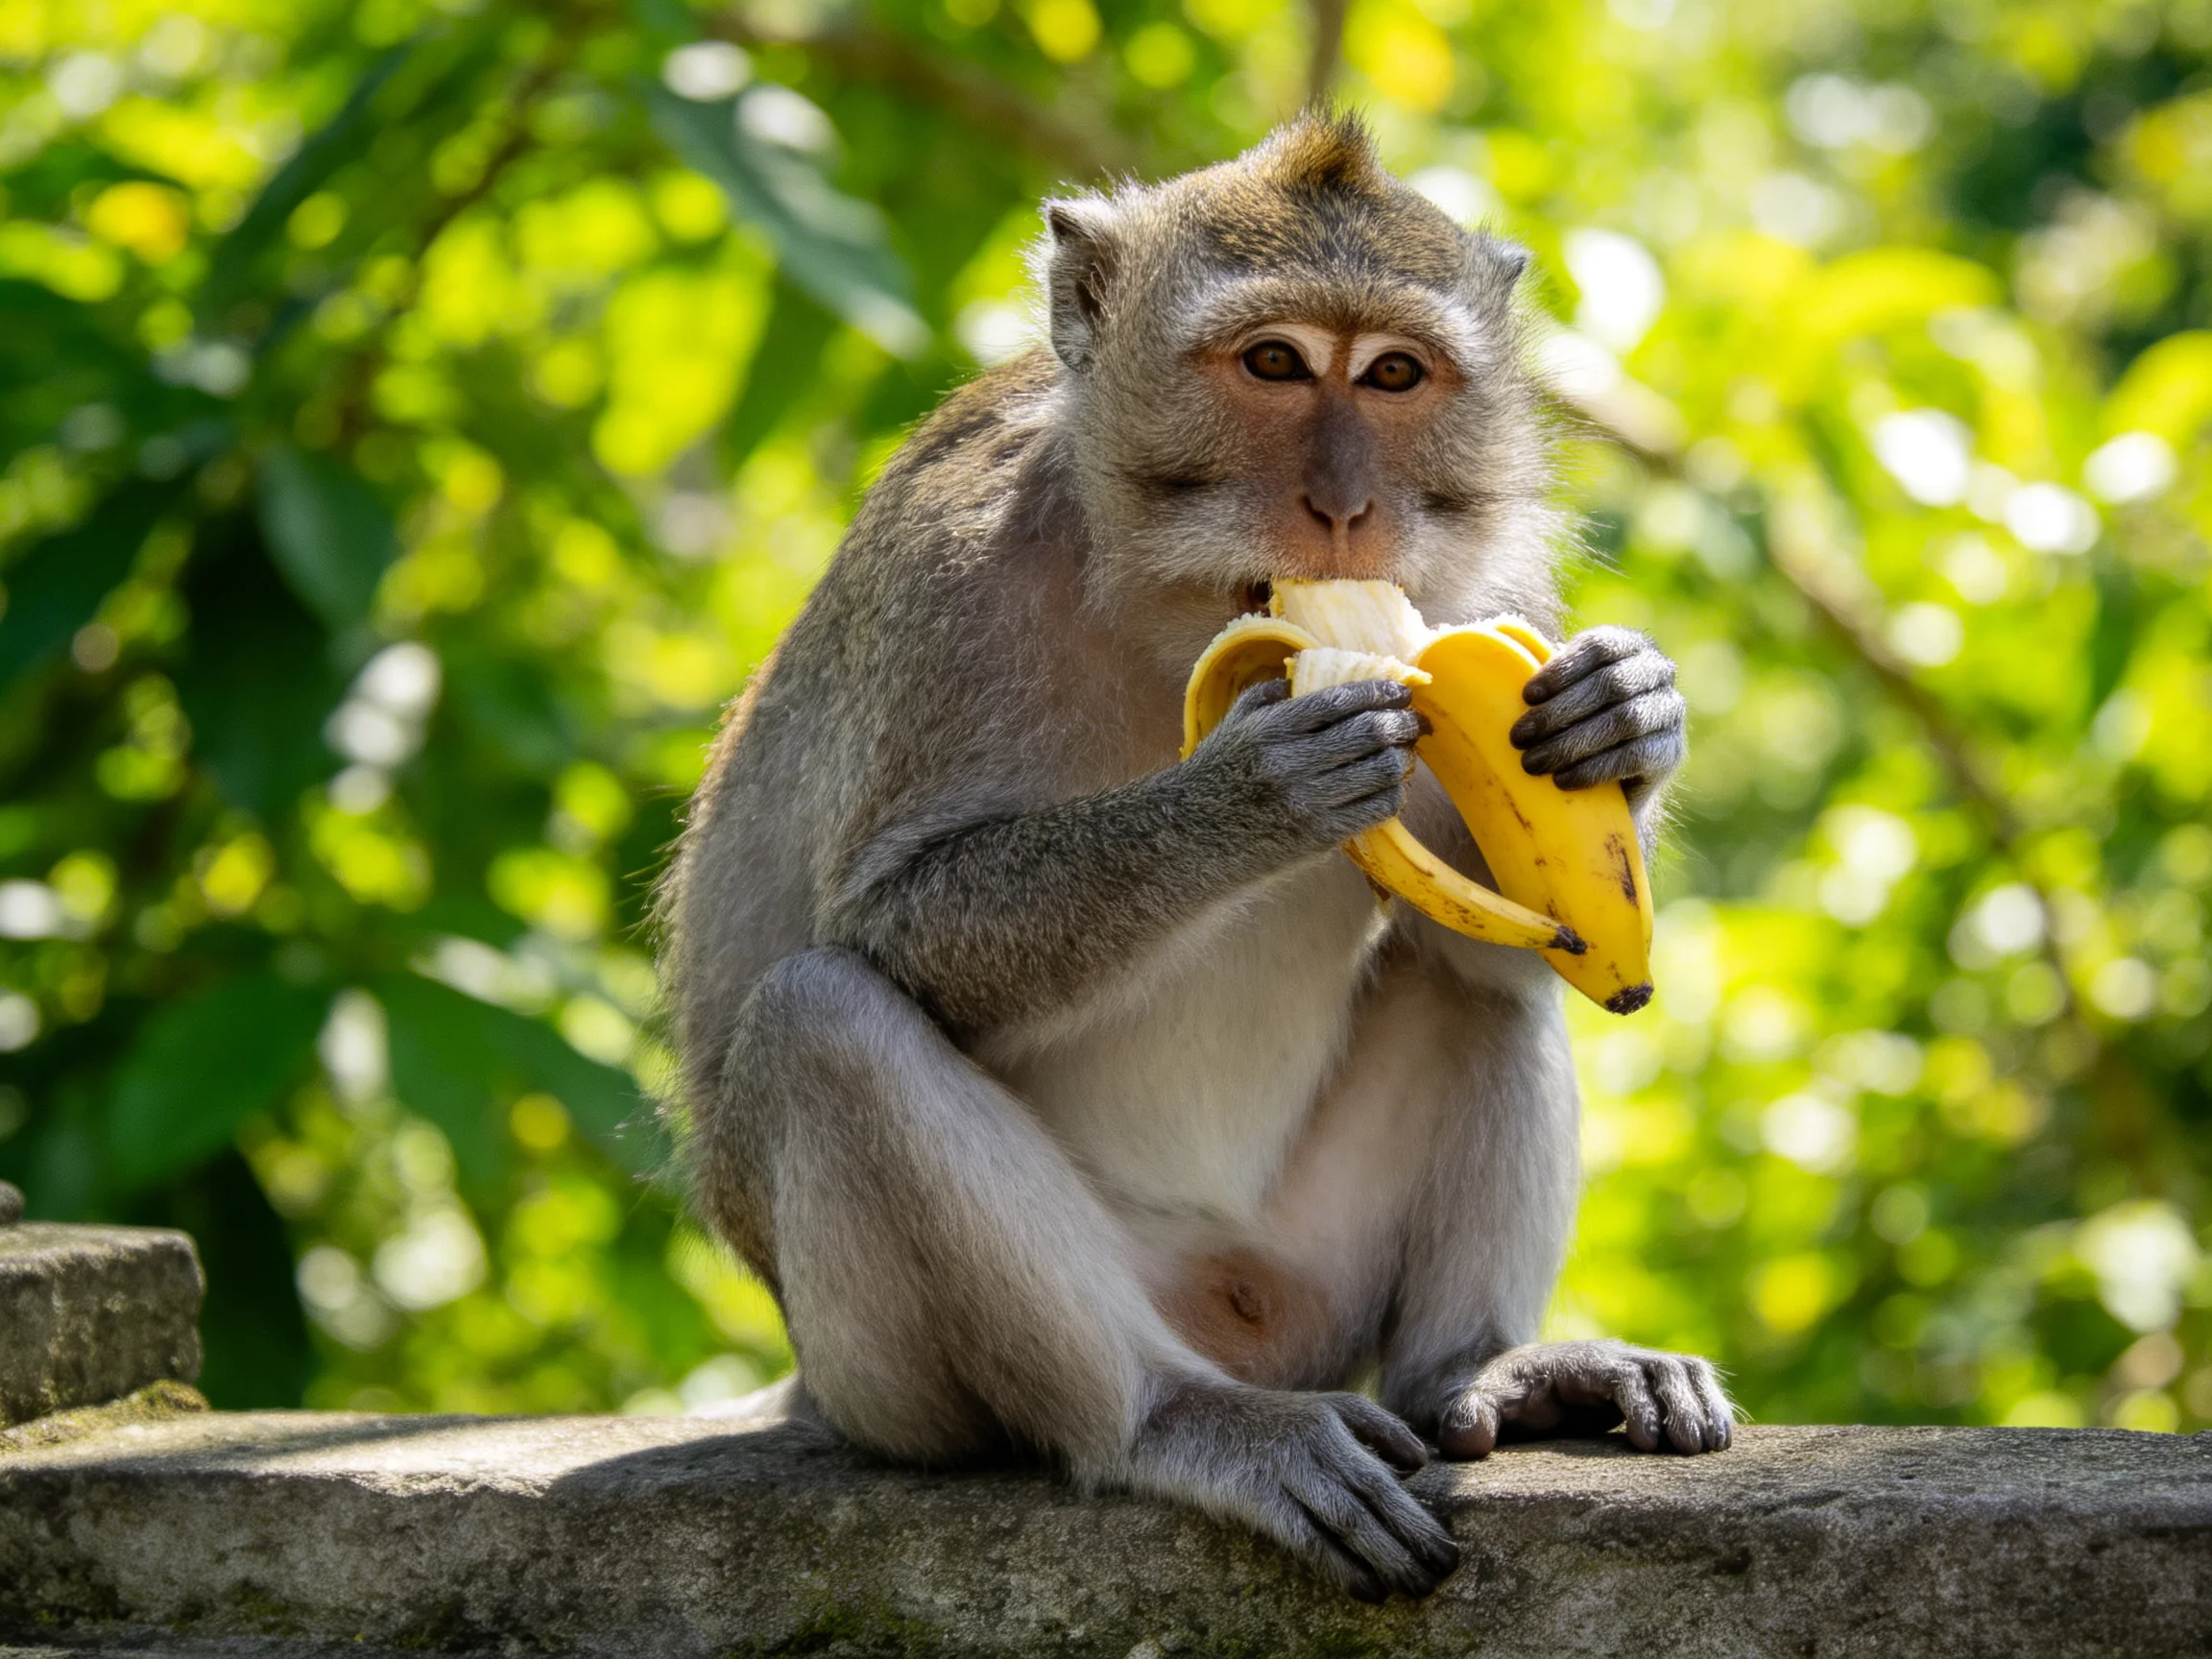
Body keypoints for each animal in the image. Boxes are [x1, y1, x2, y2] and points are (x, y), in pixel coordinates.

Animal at [660, 111, 1731, 1602]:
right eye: (1273, 364)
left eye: (1394, 375)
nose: (1344, 508)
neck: (1173, 604)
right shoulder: (949, 577)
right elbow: (891, 920)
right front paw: (1250, 790)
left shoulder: (1493, 593)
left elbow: (1517, 938)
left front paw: (1627, 718)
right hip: (893, 1379)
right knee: (822, 1021)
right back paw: (1185, 1423)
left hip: (1320, 1276)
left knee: (1482, 987)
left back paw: (1481, 1371)